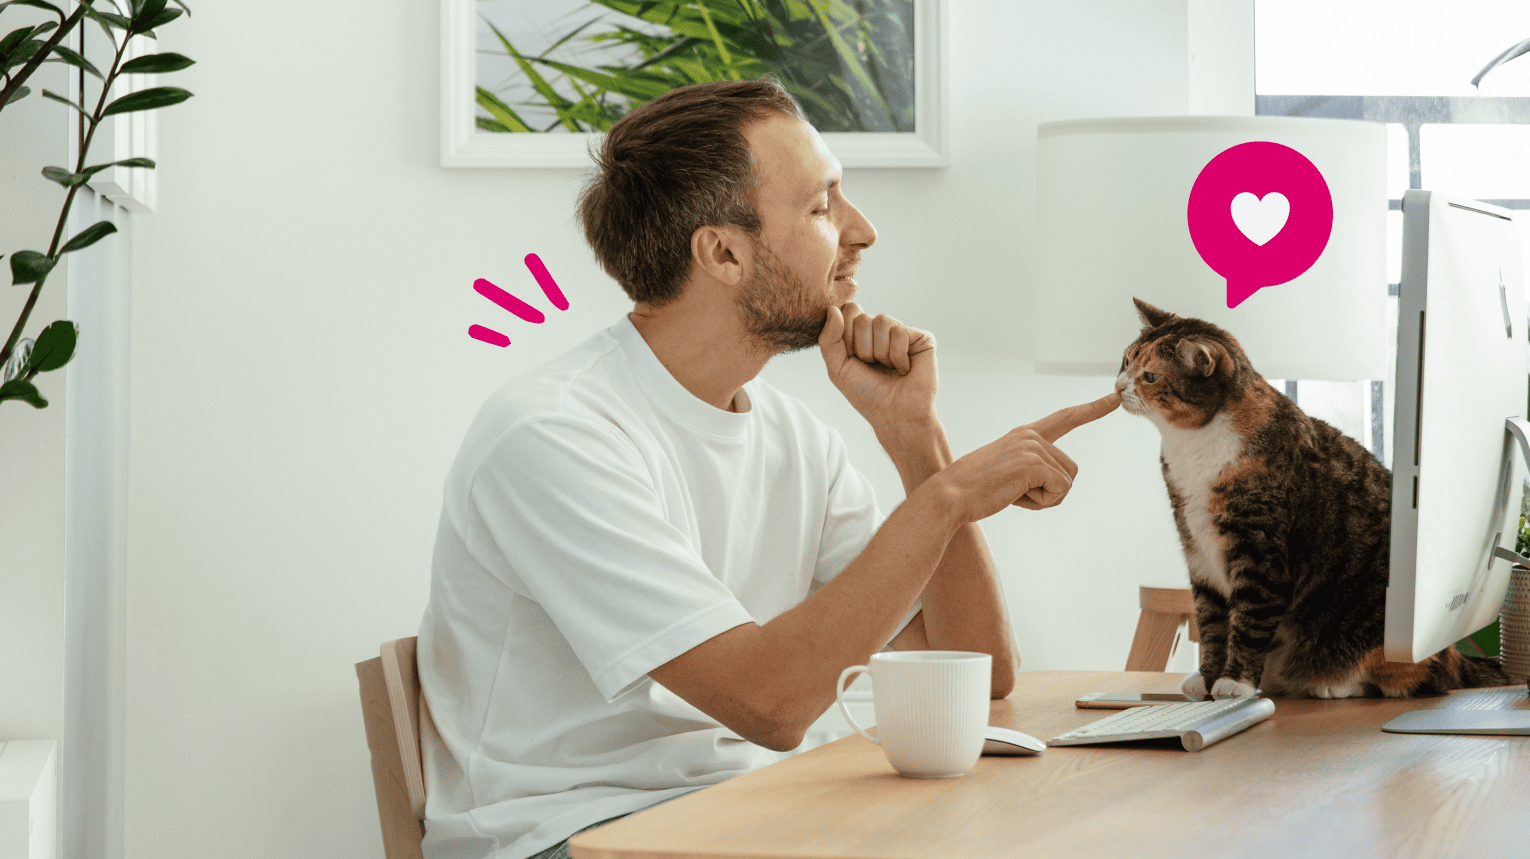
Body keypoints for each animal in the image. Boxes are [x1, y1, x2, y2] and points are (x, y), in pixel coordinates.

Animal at [1113, 293, 1505, 698]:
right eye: (1126, 361)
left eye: (1151, 376)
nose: (1117, 387)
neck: (1192, 448)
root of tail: (1455, 656)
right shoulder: (1197, 549)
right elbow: (1210, 622)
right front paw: (1206, 677)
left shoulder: (1260, 549)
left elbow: (1250, 619)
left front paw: (1234, 682)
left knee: (1417, 678)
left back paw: (1331, 685)